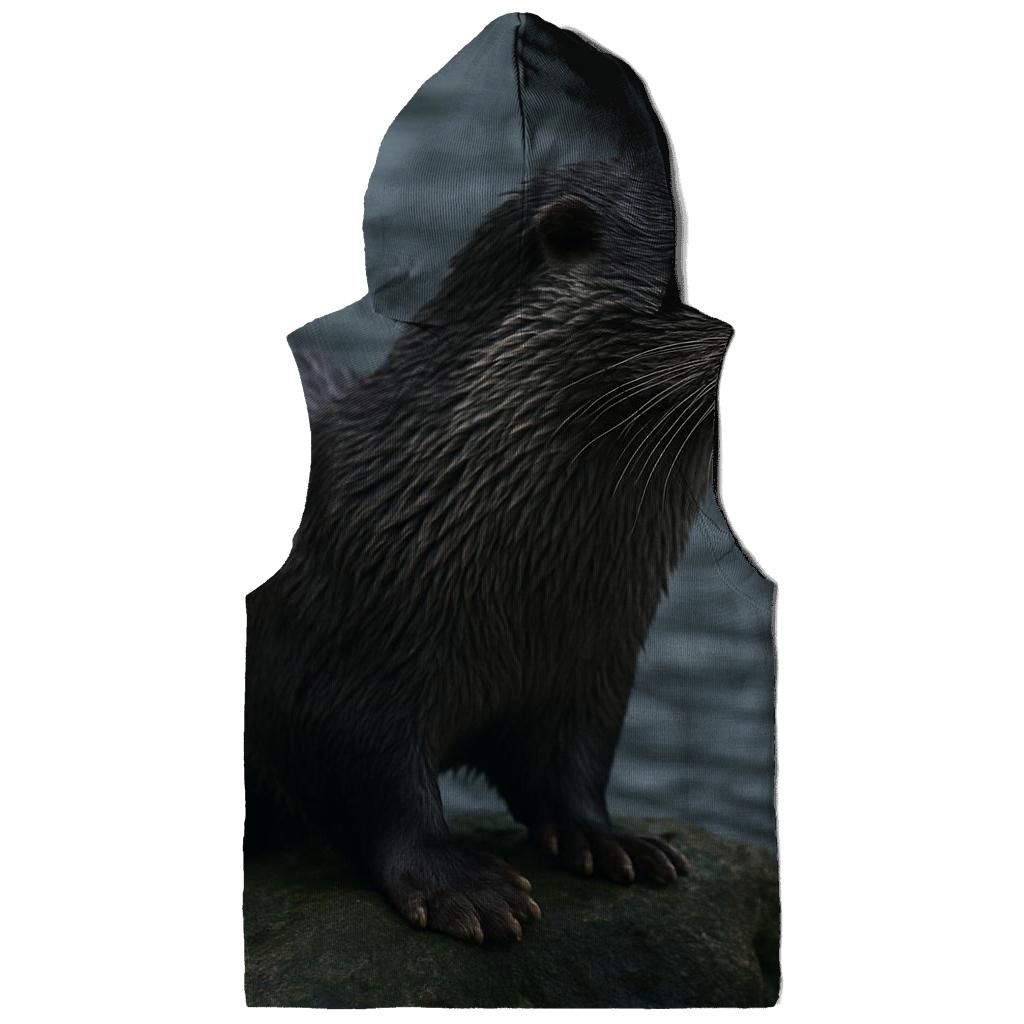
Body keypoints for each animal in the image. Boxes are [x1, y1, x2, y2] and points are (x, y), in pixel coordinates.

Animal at [245, 154, 733, 944]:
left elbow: (573, 767)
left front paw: (611, 840)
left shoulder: (595, 666)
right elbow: (376, 784)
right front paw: (464, 888)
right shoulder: (338, 655)